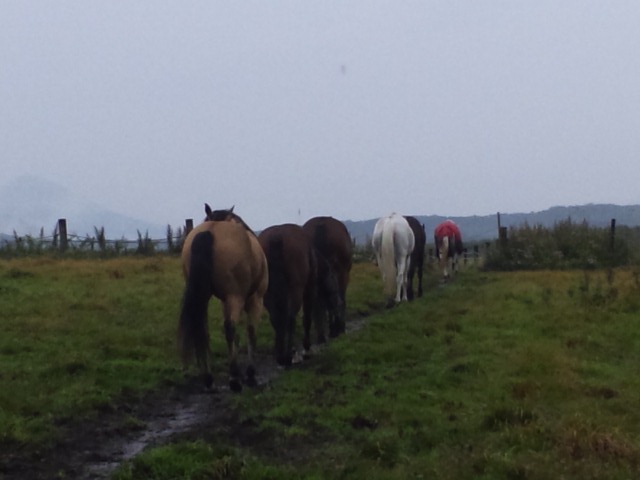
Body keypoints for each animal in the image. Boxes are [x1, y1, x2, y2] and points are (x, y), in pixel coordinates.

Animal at [179, 208, 268, 392]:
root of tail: (209, 231)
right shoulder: (255, 300)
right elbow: (251, 332)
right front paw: (250, 374)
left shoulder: (225, 302)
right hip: (236, 297)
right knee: (230, 328)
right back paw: (234, 378)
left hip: (202, 297)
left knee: (203, 329)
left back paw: (209, 379)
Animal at [256, 223, 318, 366]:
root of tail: (276, 237)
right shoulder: (309, 288)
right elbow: (307, 317)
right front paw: (306, 347)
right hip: (296, 290)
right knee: (290, 318)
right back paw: (288, 355)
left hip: (268, 294)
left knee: (275, 318)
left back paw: (280, 355)